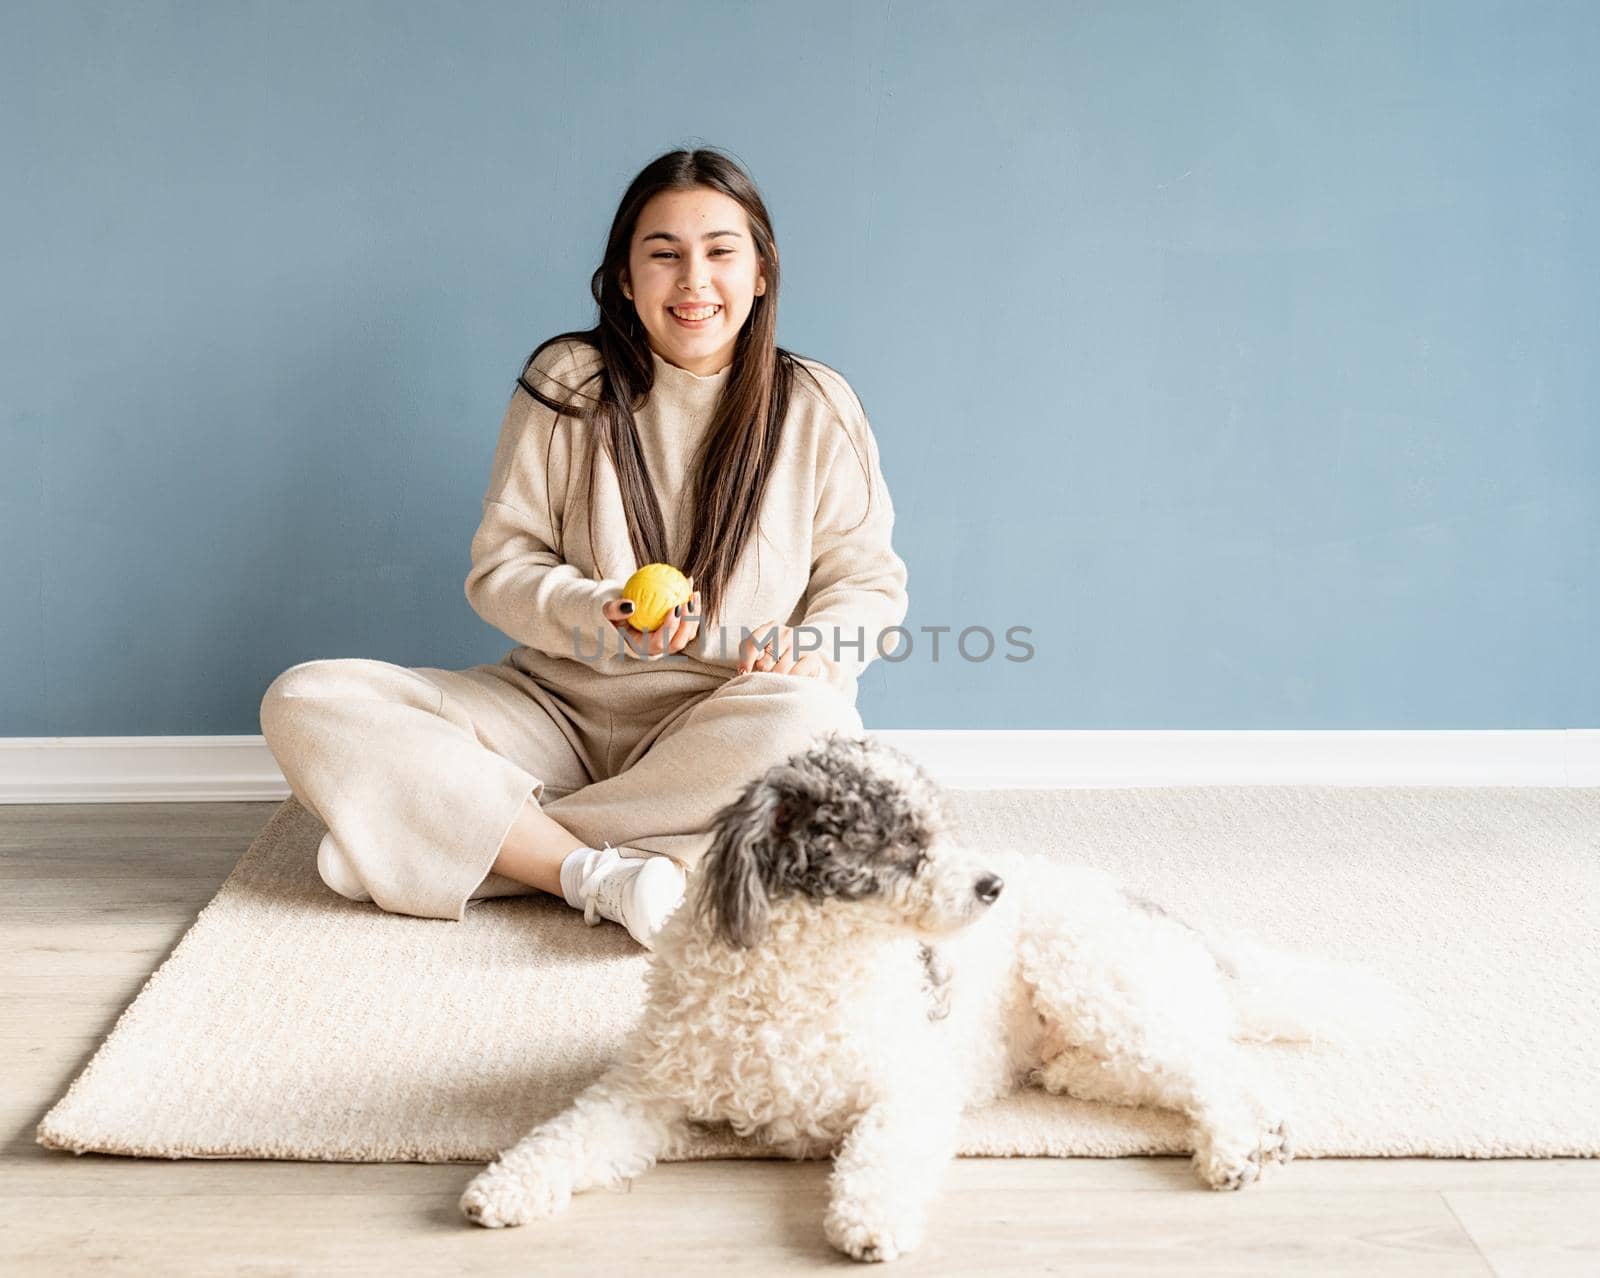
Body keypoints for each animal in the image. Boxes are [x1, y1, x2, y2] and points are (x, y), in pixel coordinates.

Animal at [457, 735, 1408, 1266]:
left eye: (940, 831)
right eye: (900, 844)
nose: (991, 885)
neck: (806, 970)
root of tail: (1175, 926)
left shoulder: (905, 1092)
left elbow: (878, 1159)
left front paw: (868, 1224)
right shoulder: (645, 1092)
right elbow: (564, 1137)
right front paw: (501, 1190)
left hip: (1092, 977)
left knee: (1216, 1064)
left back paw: (1241, 1147)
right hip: (1096, 1033)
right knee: (1165, 1070)